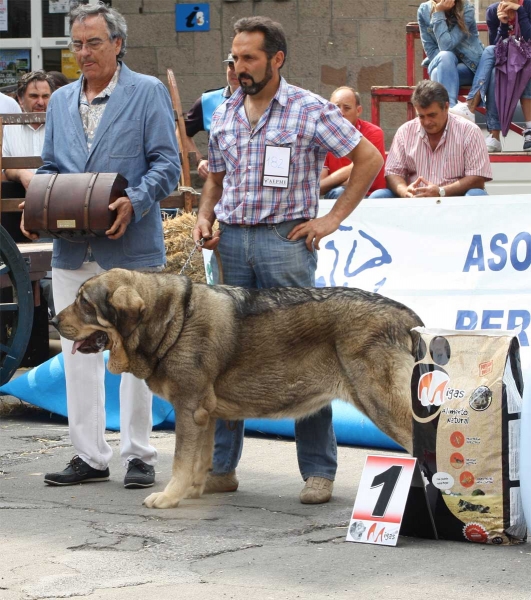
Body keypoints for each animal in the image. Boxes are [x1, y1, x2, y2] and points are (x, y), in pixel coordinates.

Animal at [52, 270, 422, 508]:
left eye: (83, 303)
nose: (53, 321)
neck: (172, 320)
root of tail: (404, 316)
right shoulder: (204, 414)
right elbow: (199, 459)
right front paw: (192, 491)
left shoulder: (188, 409)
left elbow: (181, 460)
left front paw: (169, 497)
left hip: (383, 404)